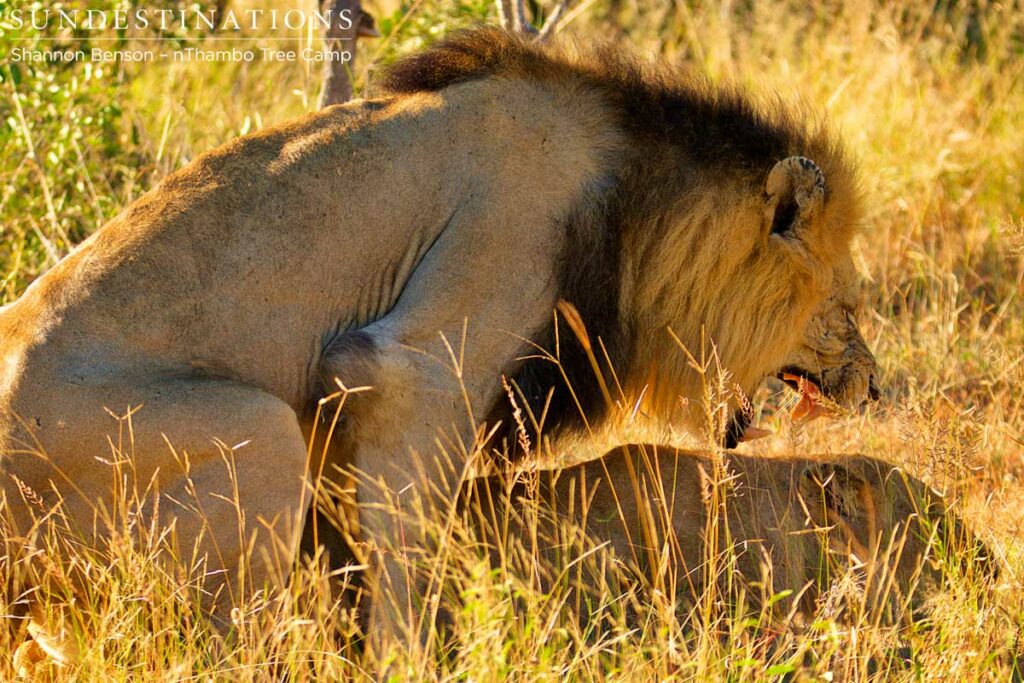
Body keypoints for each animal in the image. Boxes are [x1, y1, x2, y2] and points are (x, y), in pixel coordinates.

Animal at [1, 28, 877, 643]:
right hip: (256, 431)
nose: (876, 385)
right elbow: (406, 555)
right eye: (845, 305)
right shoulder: (419, 358)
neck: (638, 202)